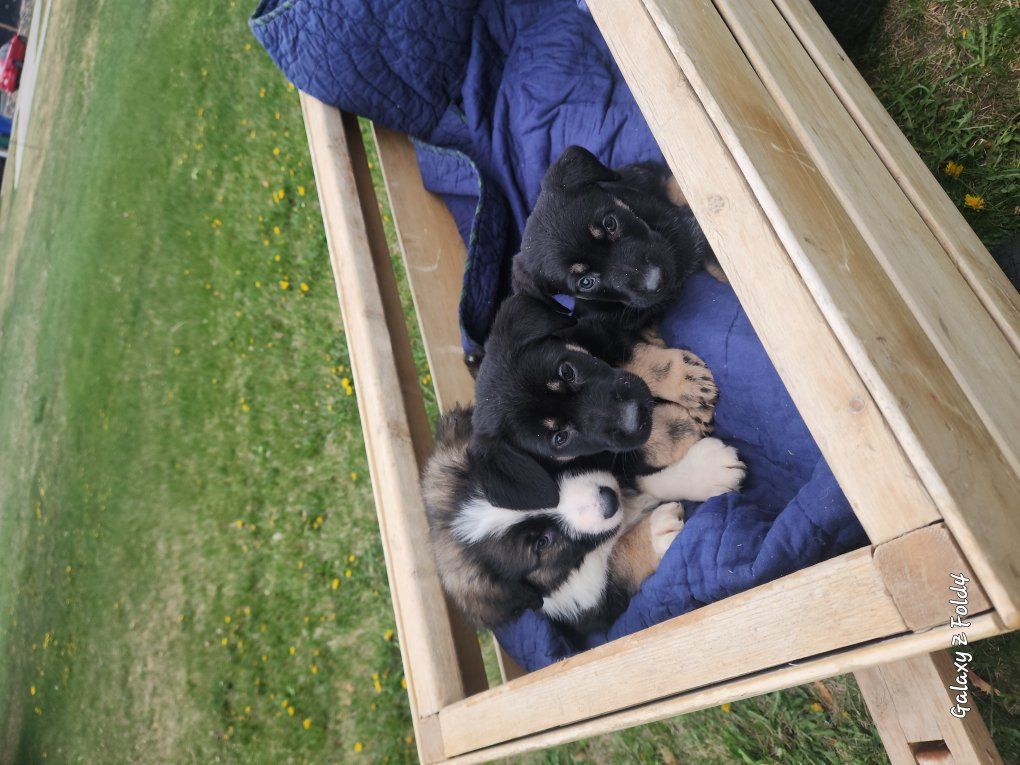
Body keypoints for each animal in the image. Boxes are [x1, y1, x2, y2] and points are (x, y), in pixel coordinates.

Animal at [423, 407, 744, 633]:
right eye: (542, 542)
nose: (609, 501)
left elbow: (636, 478)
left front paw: (706, 471)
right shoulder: (587, 608)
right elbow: (618, 564)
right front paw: (655, 534)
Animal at [469, 293, 721, 510]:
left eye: (567, 372)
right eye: (560, 438)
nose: (635, 416)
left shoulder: (593, 330)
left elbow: (636, 358)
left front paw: (686, 380)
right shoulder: (606, 461)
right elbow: (632, 451)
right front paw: (676, 427)